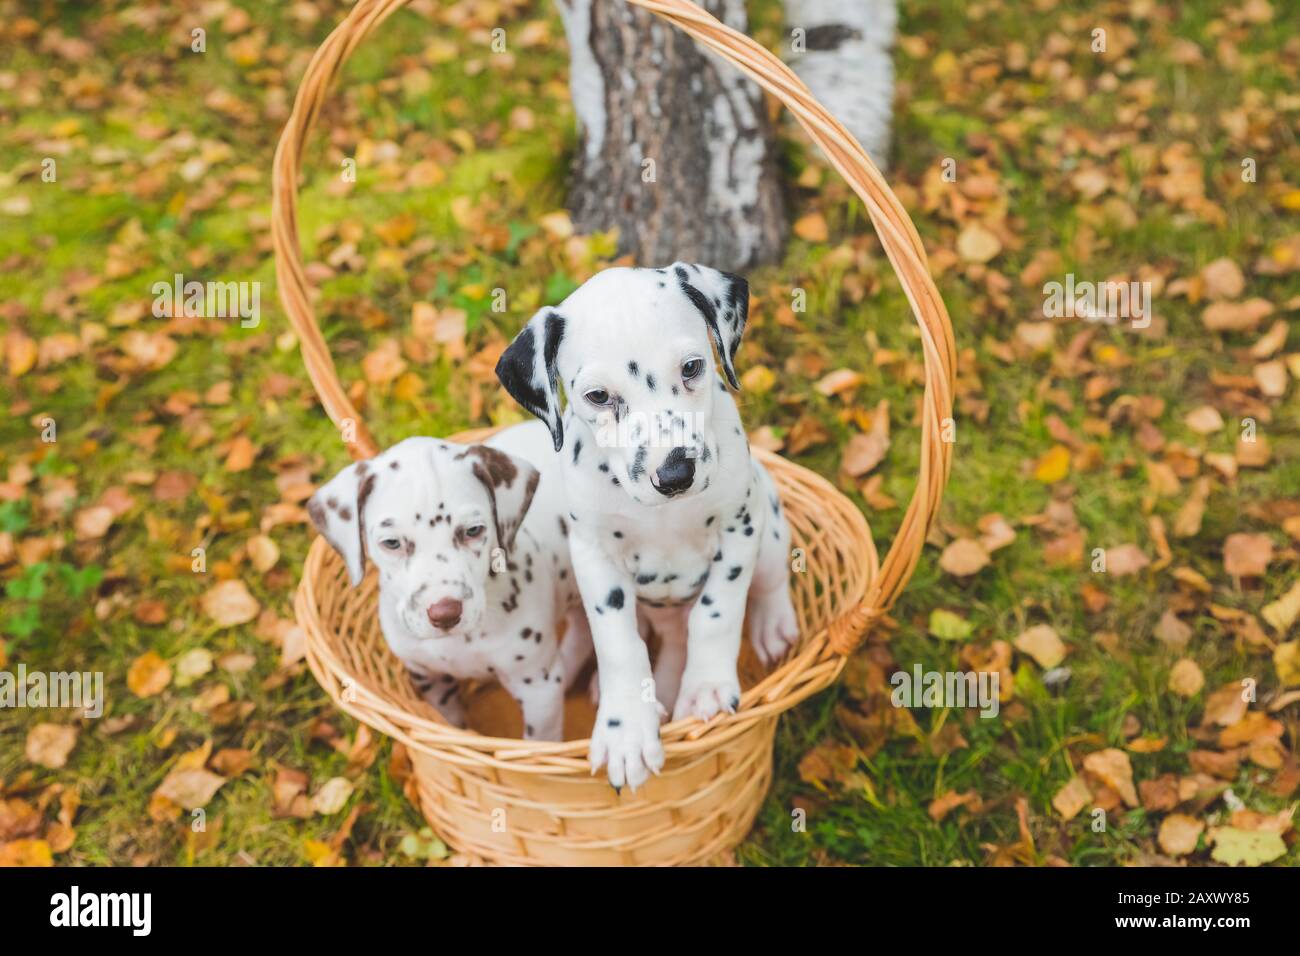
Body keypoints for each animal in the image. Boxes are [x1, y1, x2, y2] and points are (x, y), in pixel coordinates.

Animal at [304, 421, 590, 743]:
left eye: (473, 530)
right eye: (391, 543)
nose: (445, 613)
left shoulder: (539, 686)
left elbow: (538, 741)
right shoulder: (431, 679)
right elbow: (451, 723)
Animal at [496, 264, 800, 790]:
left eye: (693, 367)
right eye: (598, 396)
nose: (675, 473)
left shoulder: (739, 529)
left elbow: (716, 614)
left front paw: (707, 688)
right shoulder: (595, 556)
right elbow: (619, 642)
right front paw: (626, 730)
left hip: (768, 514)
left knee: (768, 579)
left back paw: (772, 623)